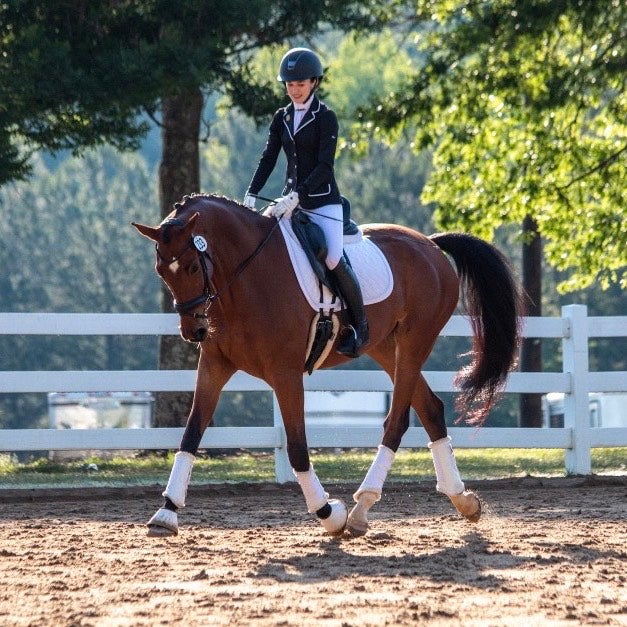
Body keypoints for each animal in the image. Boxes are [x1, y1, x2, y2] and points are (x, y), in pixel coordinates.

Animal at [134, 194, 524, 536]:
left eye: (190, 266)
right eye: (160, 271)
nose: (195, 330)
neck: (245, 277)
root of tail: (428, 243)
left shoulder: (286, 374)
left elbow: (297, 448)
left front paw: (328, 514)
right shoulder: (214, 366)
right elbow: (191, 434)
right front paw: (166, 513)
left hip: (415, 342)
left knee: (397, 421)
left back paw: (361, 508)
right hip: (385, 346)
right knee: (430, 408)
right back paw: (463, 500)